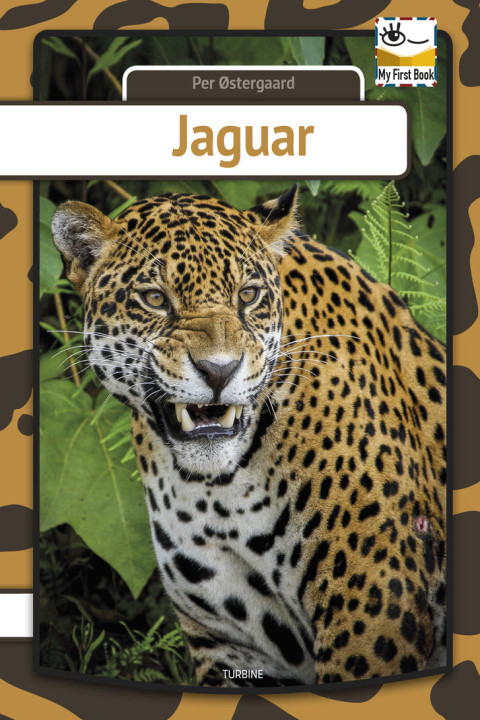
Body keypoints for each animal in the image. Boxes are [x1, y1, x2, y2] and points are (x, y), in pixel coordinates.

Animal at [51, 186, 447, 688]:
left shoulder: (375, 610)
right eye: (155, 298)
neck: (219, 492)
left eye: (249, 294)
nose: (219, 370)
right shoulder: (230, 643)